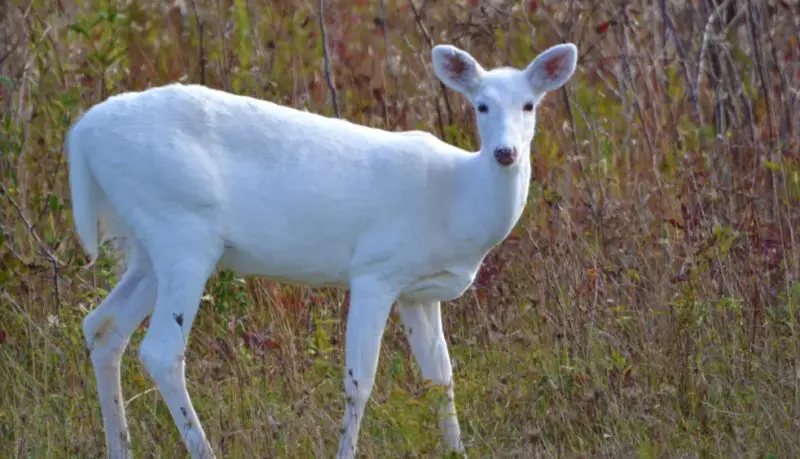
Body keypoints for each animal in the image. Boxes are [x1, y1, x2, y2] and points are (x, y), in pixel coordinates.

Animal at [66, 42, 578, 458]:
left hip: (148, 246)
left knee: (102, 326)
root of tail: (81, 134)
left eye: (530, 104)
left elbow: (440, 377)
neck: (456, 200)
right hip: (183, 230)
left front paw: (457, 451)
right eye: (481, 105)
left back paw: (119, 448)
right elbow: (359, 381)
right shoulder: (375, 270)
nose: (505, 153)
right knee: (160, 351)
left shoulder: (419, 292)